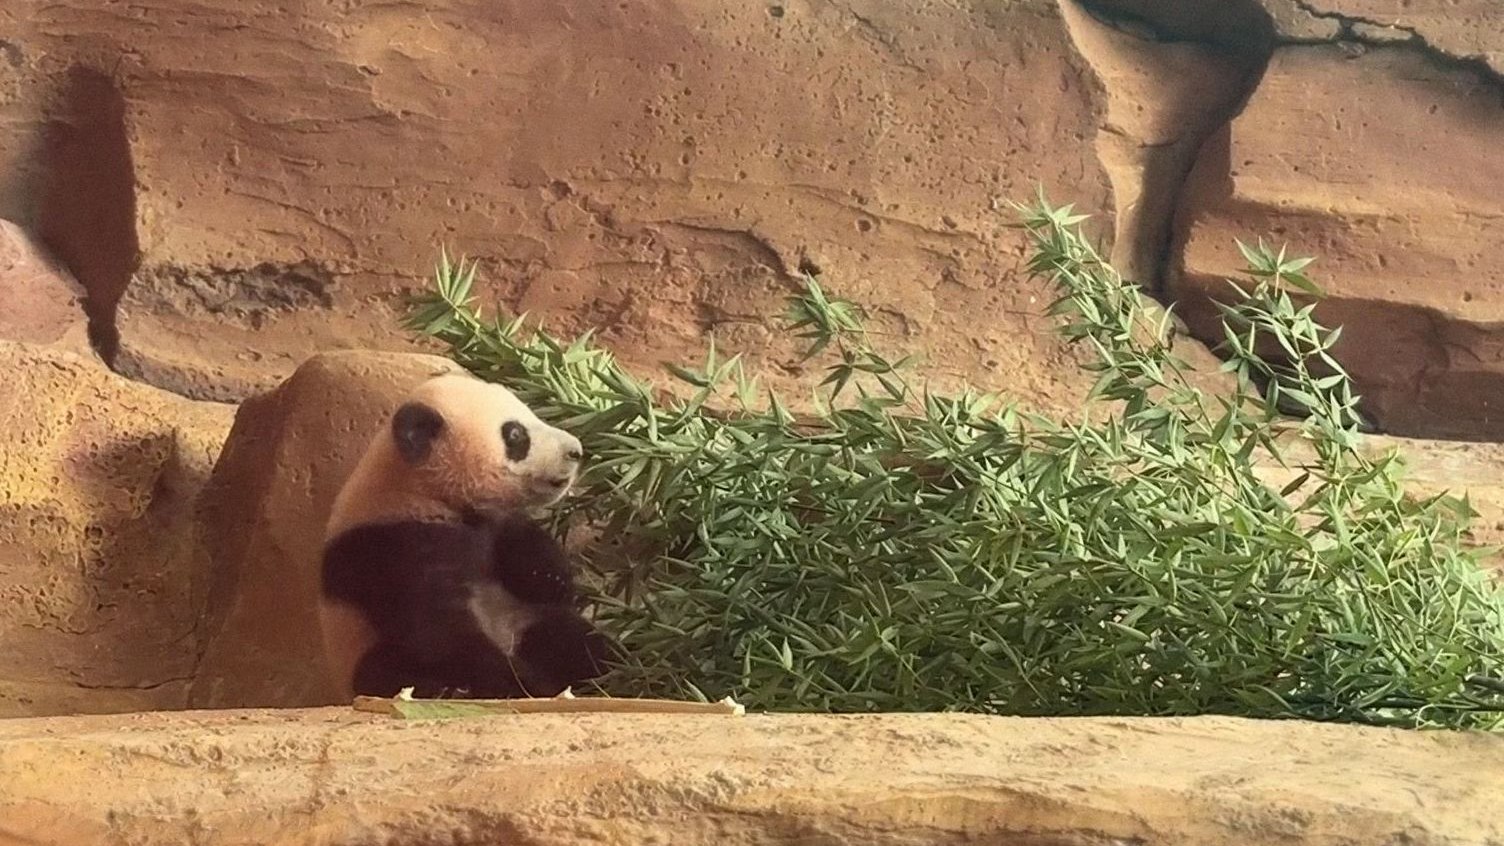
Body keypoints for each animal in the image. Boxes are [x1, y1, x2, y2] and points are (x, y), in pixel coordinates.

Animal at [318, 370, 611, 701]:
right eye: (515, 435)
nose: (575, 451)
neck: (423, 489)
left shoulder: (489, 525)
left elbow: (524, 548)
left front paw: (553, 576)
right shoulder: (393, 547)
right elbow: (439, 633)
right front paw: (527, 685)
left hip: (523, 622)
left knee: (571, 637)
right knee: (382, 668)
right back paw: (447, 690)